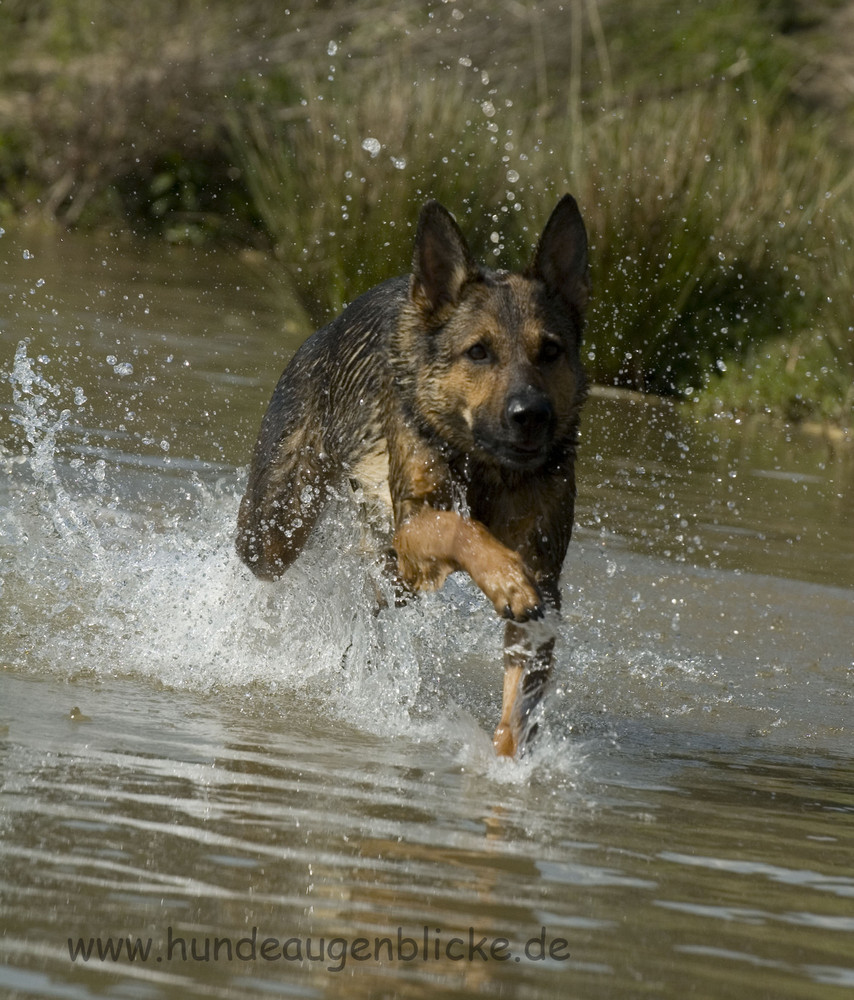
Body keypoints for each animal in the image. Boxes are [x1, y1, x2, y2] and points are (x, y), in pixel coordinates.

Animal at [237, 195, 592, 756]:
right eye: (478, 351)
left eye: (551, 351)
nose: (530, 415)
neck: (483, 467)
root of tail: (324, 328)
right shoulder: (416, 522)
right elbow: (460, 527)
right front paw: (505, 578)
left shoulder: (544, 582)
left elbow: (518, 706)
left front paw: (508, 762)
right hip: (275, 530)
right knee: (259, 558)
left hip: (392, 576)